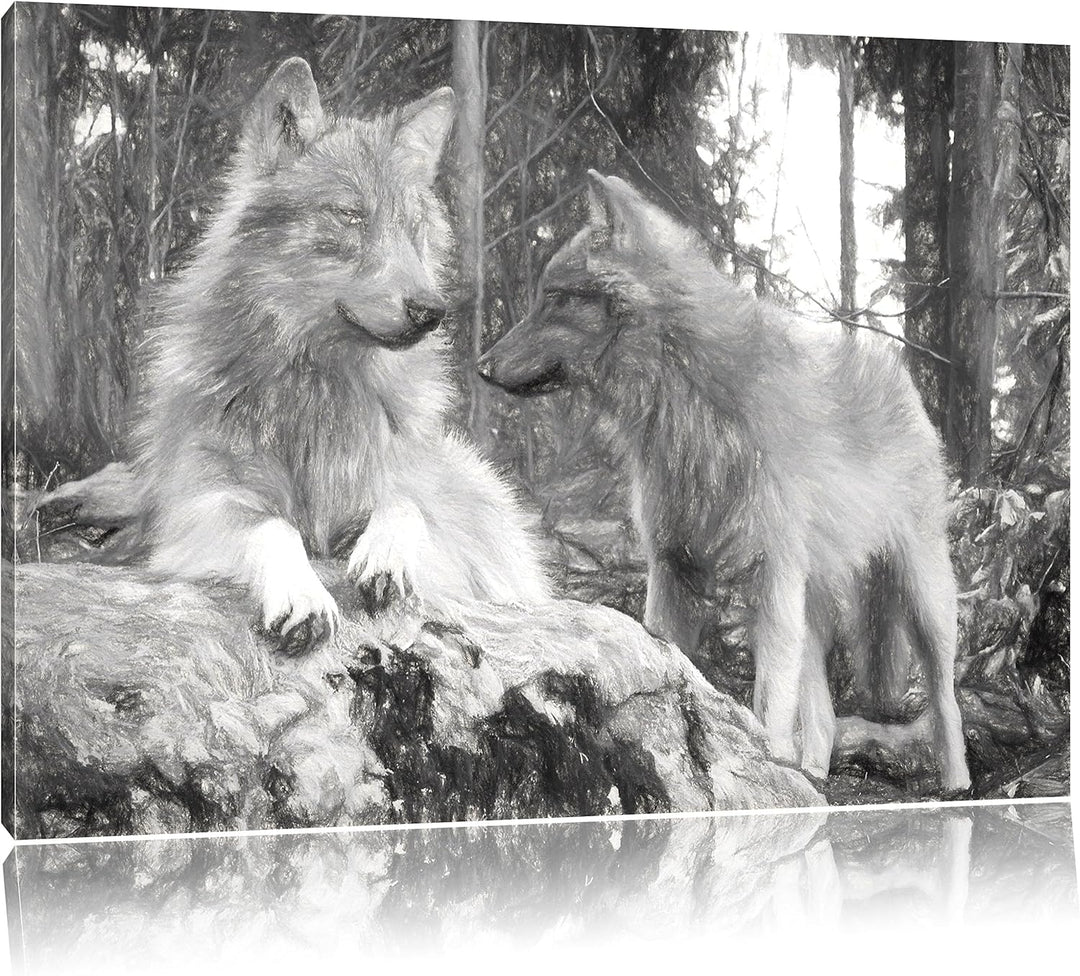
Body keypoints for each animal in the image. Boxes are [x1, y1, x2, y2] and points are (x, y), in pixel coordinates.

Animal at [134, 57, 548, 653]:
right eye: (351, 216)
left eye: (413, 228)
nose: (431, 310)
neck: (317, 387)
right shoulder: (197, 511)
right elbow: (273, 527)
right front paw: (302, 596)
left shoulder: (413, 513)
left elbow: (403, 506)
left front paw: (385, 558)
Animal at [477, 170, 970, 791]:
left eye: (555, 298)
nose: (480, 366)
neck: (690, 406)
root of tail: (897, 372)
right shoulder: (674, 567)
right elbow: (674, 665)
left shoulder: (771, 577)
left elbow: (768, 704)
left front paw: (762, 767)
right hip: (811, 610)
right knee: (824, 716)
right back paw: (812, 778)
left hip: (921, 599)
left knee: (944, 698)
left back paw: (956, 785)